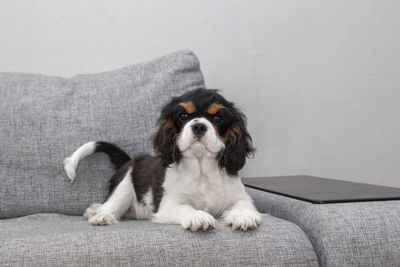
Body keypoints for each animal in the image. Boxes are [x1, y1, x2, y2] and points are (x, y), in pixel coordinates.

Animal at [63, 89, 260, 231]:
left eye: (218, 118)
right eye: (183, 116)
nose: (198, 126)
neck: (201, 168)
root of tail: (131, 160)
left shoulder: (239, 195)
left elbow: (243, 204)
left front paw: (244, 216)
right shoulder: (167, 205)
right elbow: (186, 208)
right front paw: (198, 216)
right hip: (126, 183)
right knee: (111, 203)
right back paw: (101, 215)